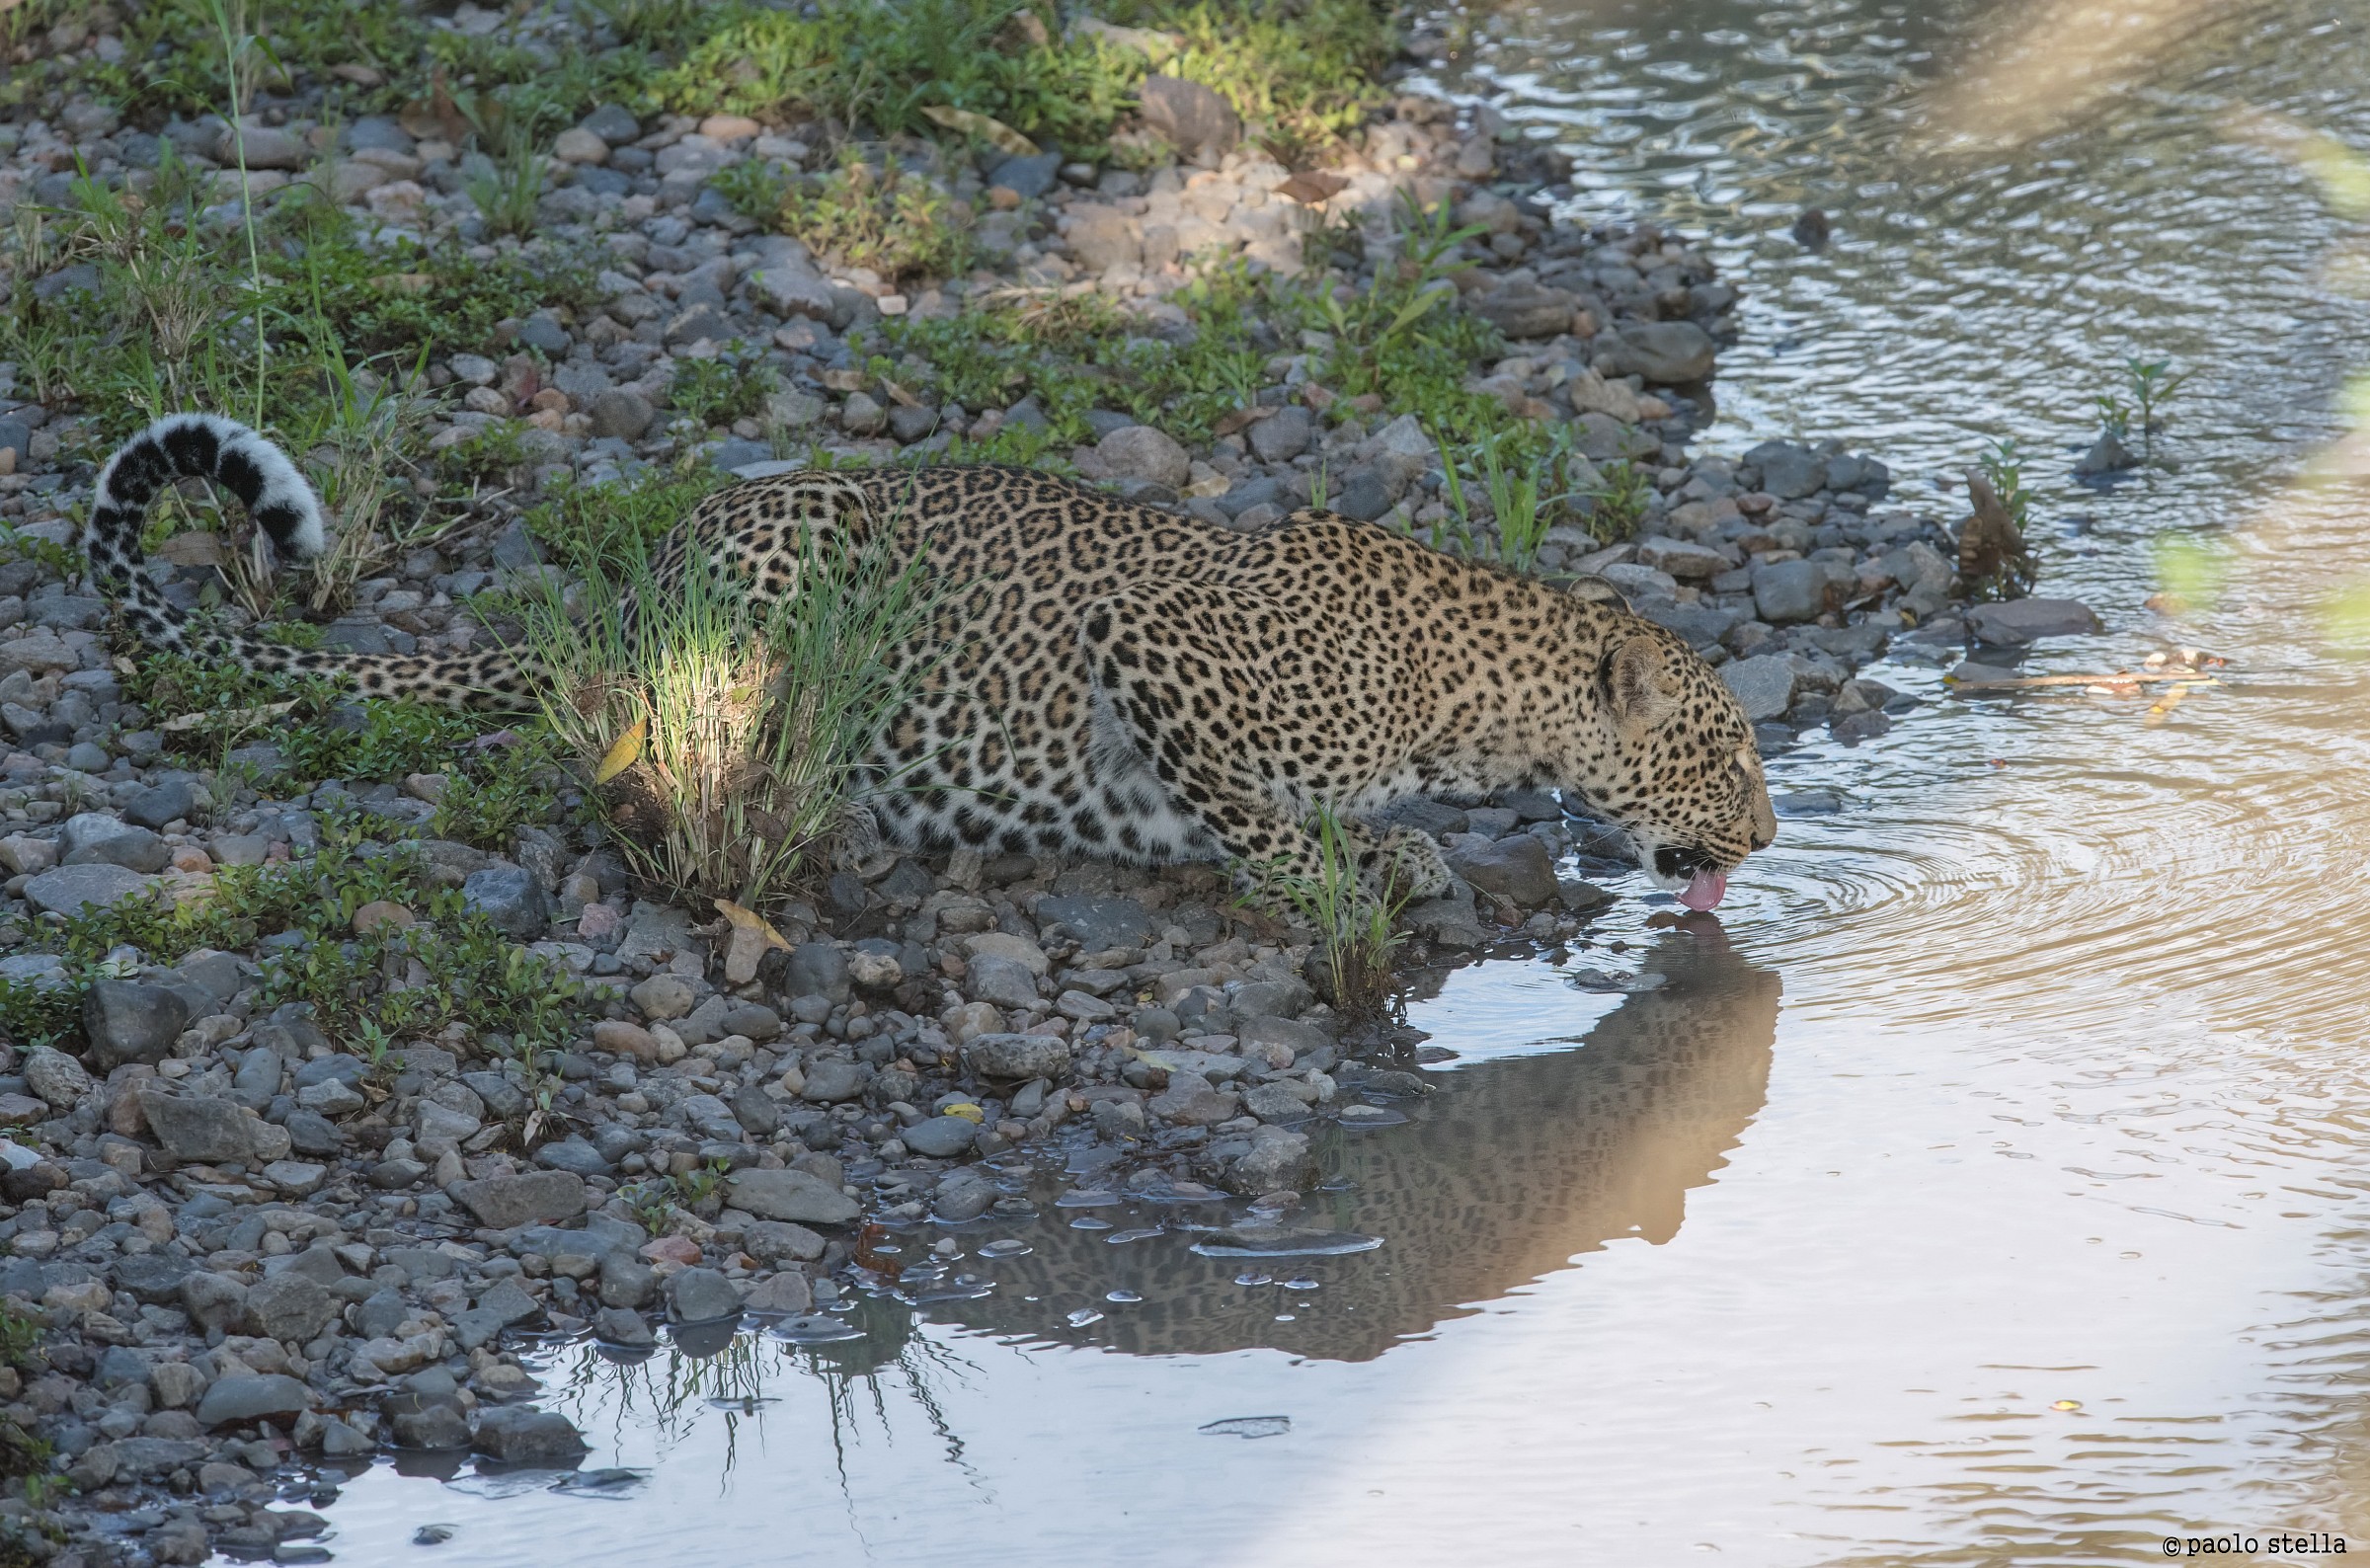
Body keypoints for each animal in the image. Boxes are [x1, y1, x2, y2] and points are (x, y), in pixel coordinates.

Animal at [82, 413, 1776, 909]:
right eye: (1727, 749)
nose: (1769, 837)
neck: (1472, 700)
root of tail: (642, 578)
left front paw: (1404, 857)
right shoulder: (1154, 650)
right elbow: (1253, 821)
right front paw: (1337, 875)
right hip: (795, 563)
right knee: (642, 729)